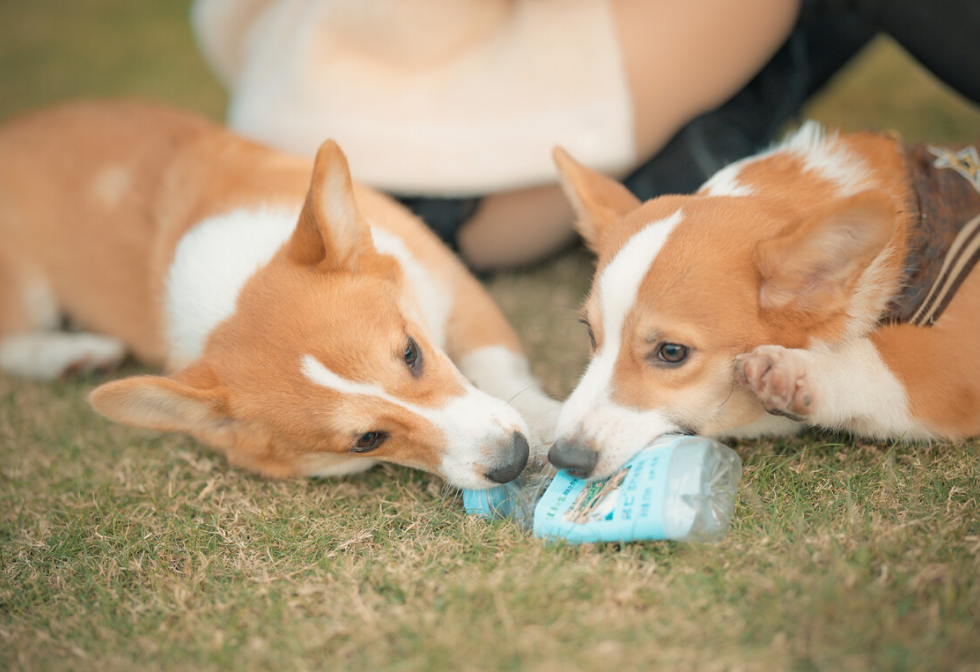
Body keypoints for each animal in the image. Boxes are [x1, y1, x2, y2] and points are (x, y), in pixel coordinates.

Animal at [0, 100, 560, 488]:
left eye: (411, 353)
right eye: (366, 440)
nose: (512, 460)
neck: (230, 287)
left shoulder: (453, 283)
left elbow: (500, 366)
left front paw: (552, 420)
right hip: (24, 289)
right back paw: (71, 354)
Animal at [548, 123, 980, 480]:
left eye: (672, 352)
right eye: (590, 333)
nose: (564, 459)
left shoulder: (955, 363)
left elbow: (882, 365)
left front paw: (800, 372)